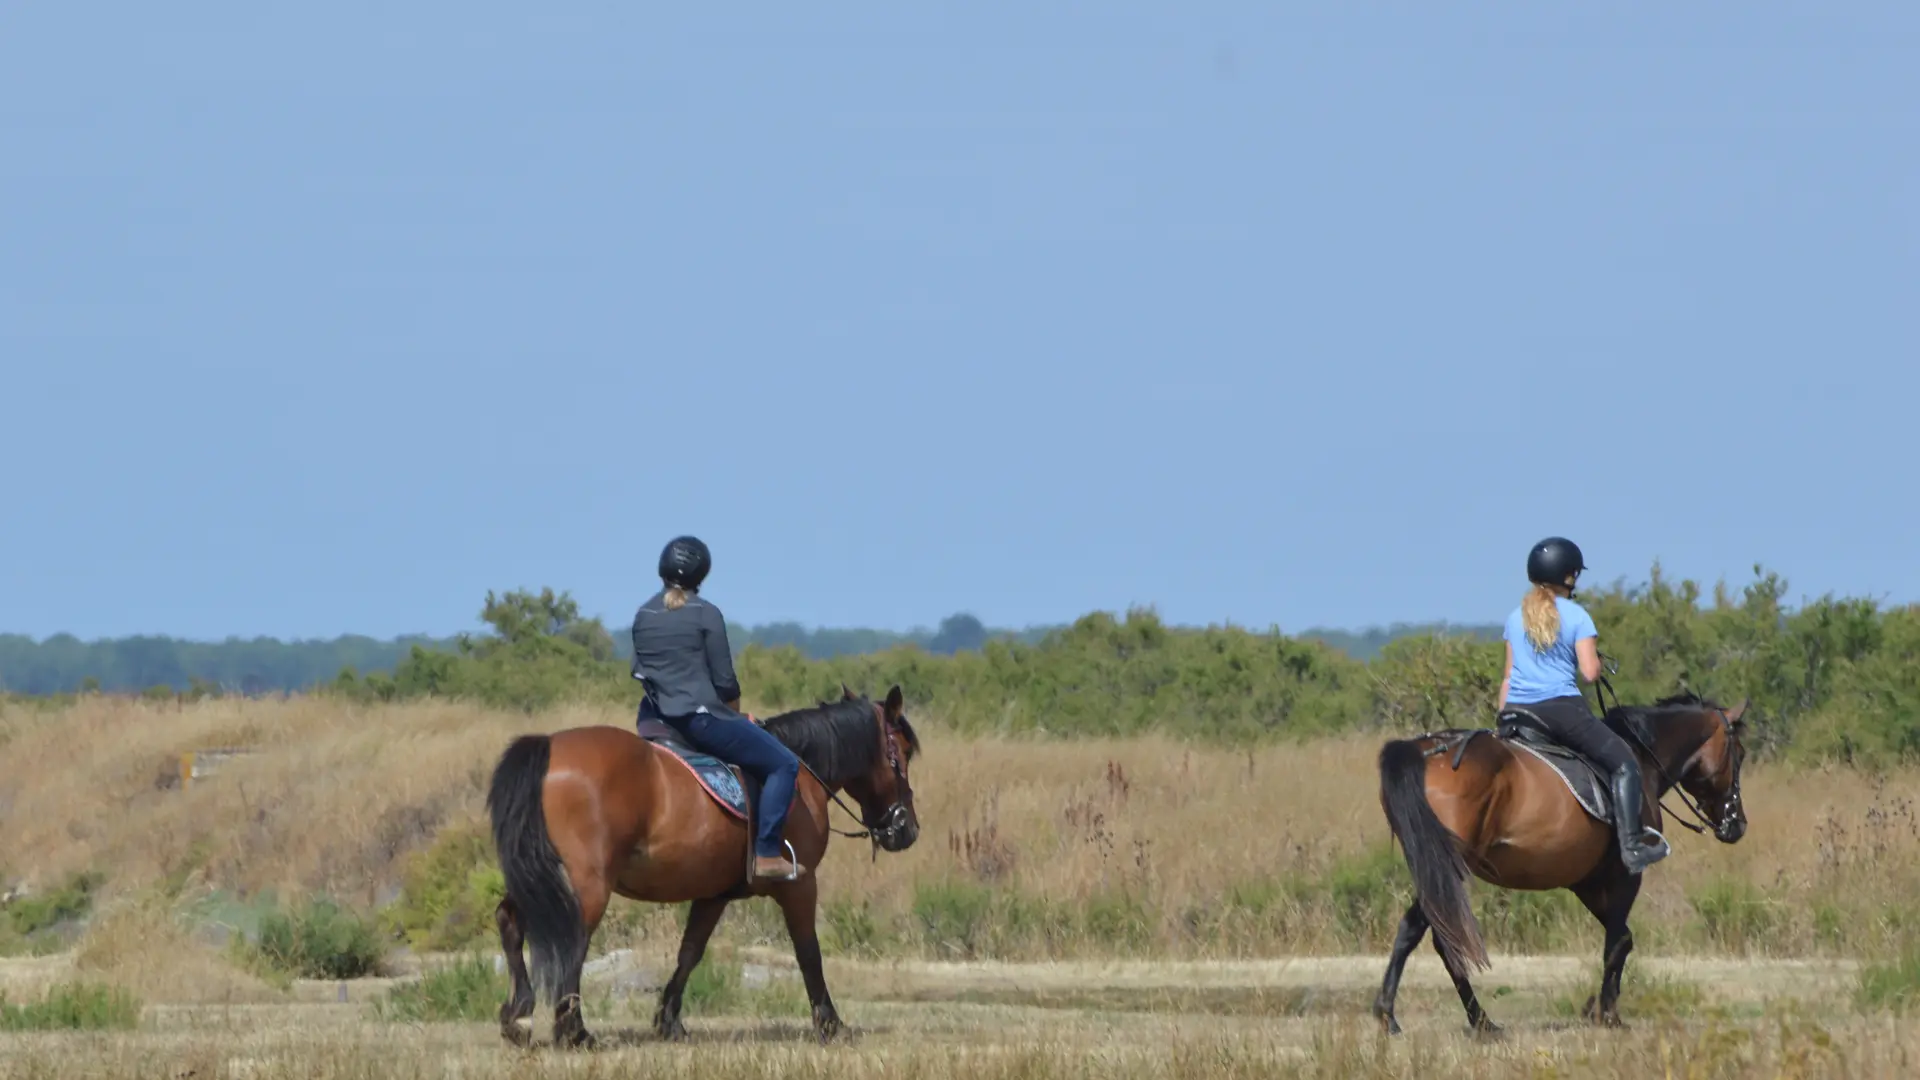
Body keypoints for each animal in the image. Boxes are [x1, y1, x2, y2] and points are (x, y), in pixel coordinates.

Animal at [487, 680, 921, 1045]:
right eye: (902, 753)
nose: (906, 829)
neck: (800, 773)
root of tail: (549, 746)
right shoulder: (800, 884)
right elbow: (808, 953)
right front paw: (831, 1024)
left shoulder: (714, 894)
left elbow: (690, 952)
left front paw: (669, 1021)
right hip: (585, 885)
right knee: (571, 944)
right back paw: (574, 1031)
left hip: (539, 878)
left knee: (511, 922)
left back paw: (518, 1018)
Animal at [1374, 691, 1751, 1030]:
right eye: (1740, 753)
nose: (1738, 825)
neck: (1643, 761)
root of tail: (1426, 751)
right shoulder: (1625, 875)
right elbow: (1618, 940)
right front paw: (1607, 1013)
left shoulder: (1585, 881)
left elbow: (1623, 937)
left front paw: (1596, 1008)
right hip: (1448, 863)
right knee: (1439, 935)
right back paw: (1453, 1019)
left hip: (1434, 863)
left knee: (1423, 931)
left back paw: (1429, 1016)